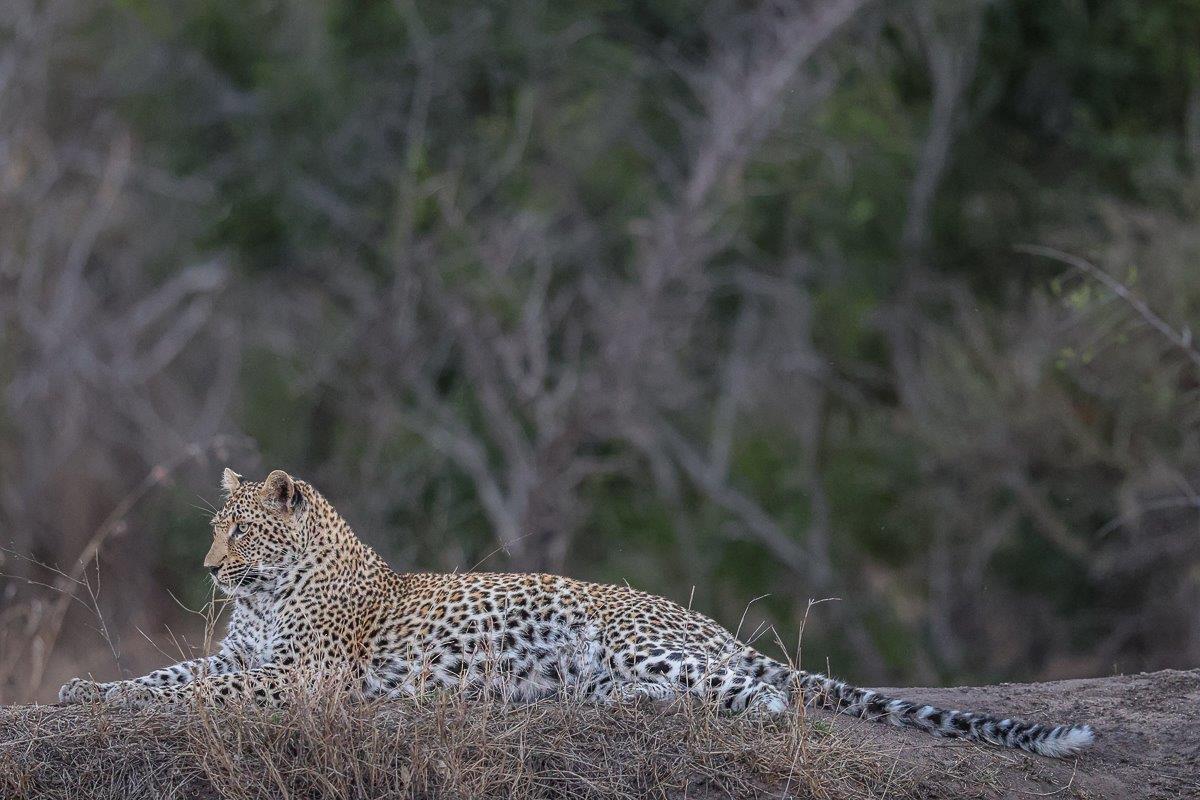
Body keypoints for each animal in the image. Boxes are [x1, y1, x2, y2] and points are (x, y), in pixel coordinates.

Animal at [59, 468, 1095, 758]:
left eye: (241, 531)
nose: (210, 570)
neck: (278, 589)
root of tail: (715, 627)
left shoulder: (298, 676)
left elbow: (198, 696)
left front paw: (120, 702)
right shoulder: (243, 656)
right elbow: (174, 673)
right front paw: (85, 693)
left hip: (638, 645)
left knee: (765, 700)